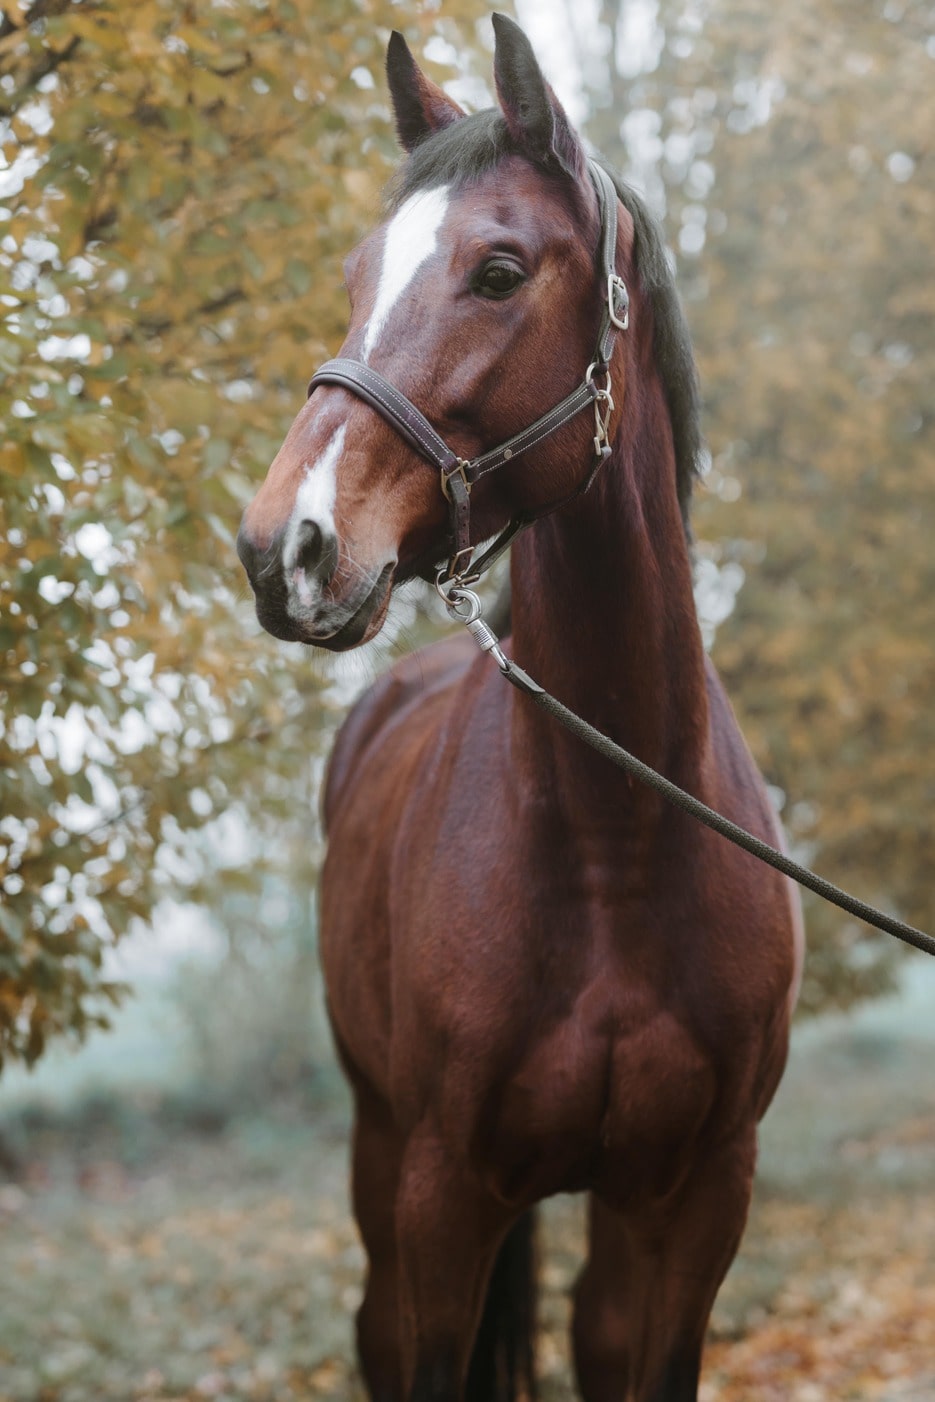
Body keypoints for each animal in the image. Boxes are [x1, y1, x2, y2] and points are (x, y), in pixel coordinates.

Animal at [236, 15, 805, 1401]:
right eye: (355, 274)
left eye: (497, 271)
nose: (284, 548)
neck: (613, 842)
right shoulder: (444, 1197)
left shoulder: (690, 1206)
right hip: (377, 1151)